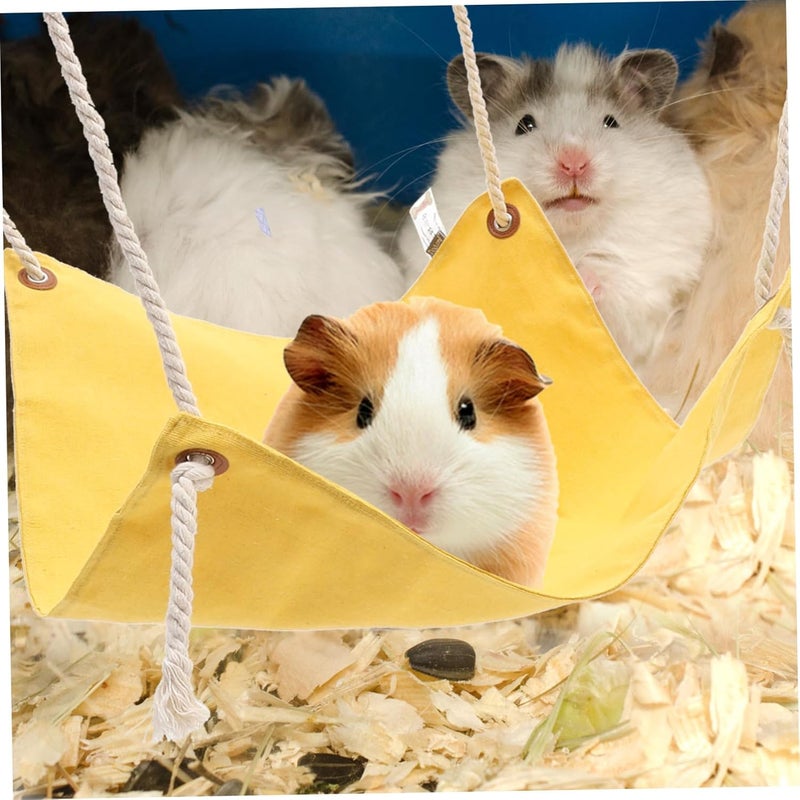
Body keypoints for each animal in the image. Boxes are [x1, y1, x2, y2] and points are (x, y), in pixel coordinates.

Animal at [396, 44, 713, 375]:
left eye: (611, 121)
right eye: (525, 124)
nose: (573, 163)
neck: (568, 232)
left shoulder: (650, 284)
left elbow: (615, 287)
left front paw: (580, 280)